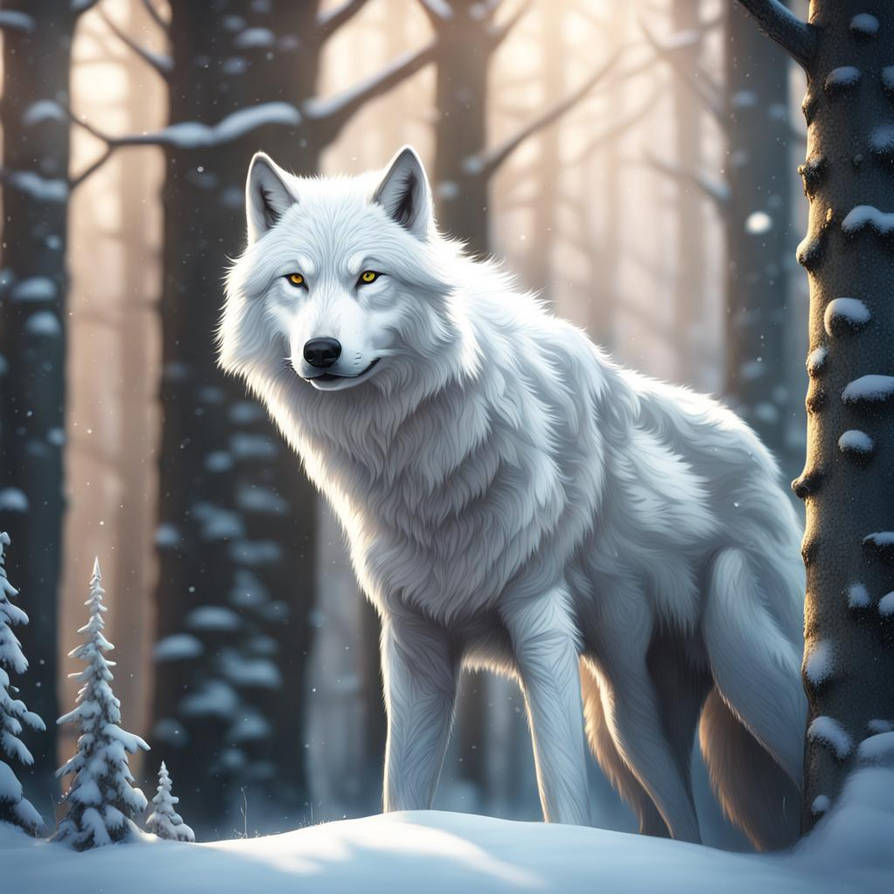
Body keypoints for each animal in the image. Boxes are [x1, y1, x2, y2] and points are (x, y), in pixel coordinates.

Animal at [218, 146, 807, 850]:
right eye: (295, 281)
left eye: (369, 276)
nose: (322, 351)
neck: (425, 466)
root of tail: (762, 457)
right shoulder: (413, 644)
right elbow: (400, 795)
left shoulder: (539, 624)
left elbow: (565, 801)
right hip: (623, 722)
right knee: (674, 820)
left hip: (733, 659)